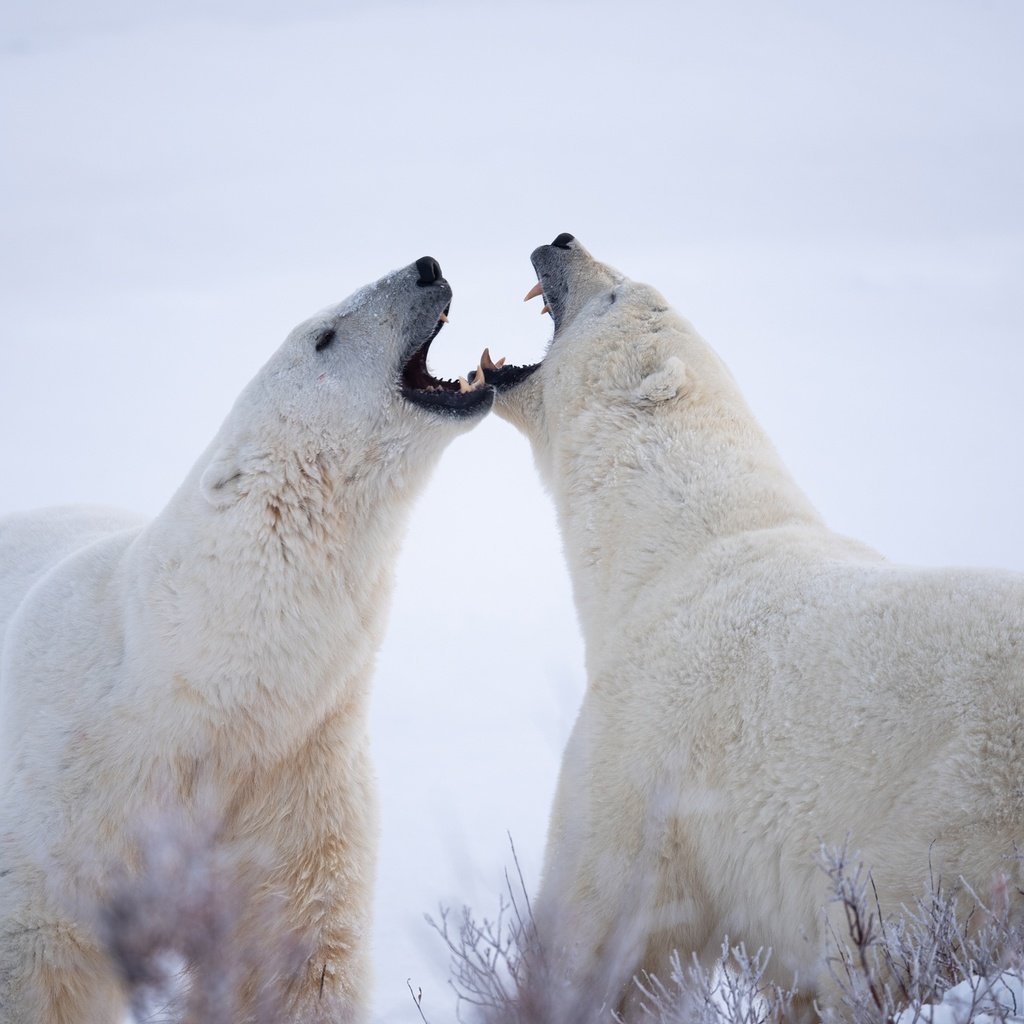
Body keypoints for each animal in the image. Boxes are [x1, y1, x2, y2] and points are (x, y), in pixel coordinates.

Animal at [0, 256, 495, 1024]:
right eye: (324, 336)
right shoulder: (62, 816)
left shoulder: (297, 786)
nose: (426, 266)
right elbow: (46, 962)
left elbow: (289, 963)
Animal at [475, 237, 1024, 1015]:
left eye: (615, 295)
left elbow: (602, 925)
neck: (671, 545)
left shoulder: (646, 750)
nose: (561, 241)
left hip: (947, 829)